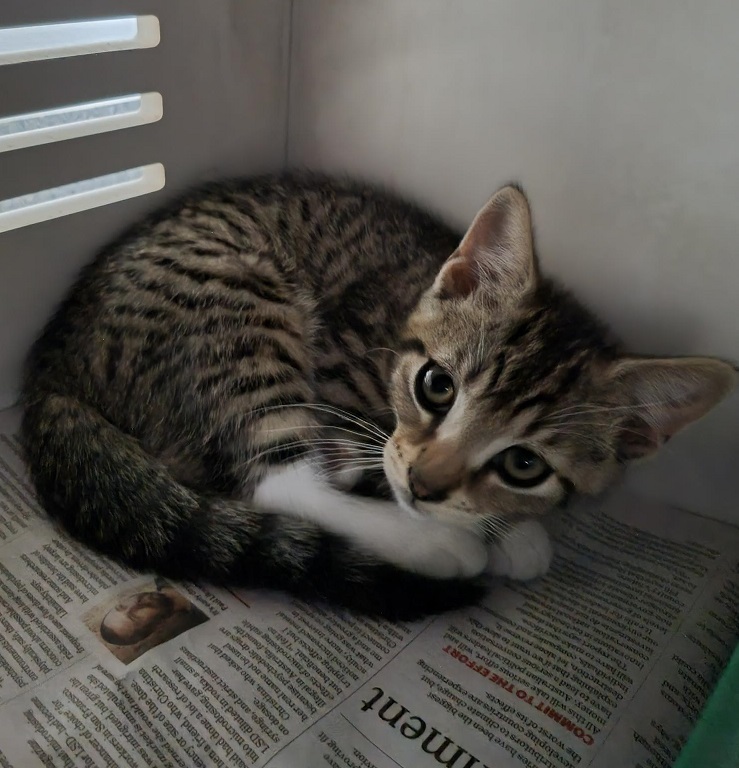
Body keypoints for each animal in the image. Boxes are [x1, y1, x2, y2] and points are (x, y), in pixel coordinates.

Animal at [20, 174, 736, 619]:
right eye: (437, 386)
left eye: (523, 464)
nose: (426, 485)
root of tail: (51, 366)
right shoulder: (340, 371)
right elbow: (361, 461)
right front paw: (481, 533)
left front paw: (511, 525)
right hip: (236, 309)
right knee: (280, 482)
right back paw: (439, 548)